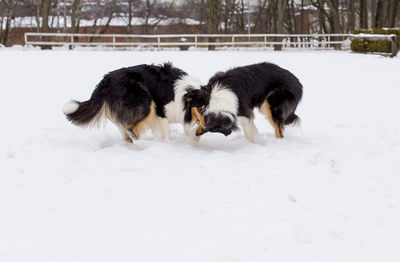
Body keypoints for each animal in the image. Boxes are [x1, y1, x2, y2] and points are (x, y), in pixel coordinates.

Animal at [63, 63, 208, 143]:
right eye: (201, 108)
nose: (207, 125)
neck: (186, 92)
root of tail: (105, 81)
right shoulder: (161, 112)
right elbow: (166, 132)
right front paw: (168, 143)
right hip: (143, 101)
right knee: (131, 128)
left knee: (127, 132)